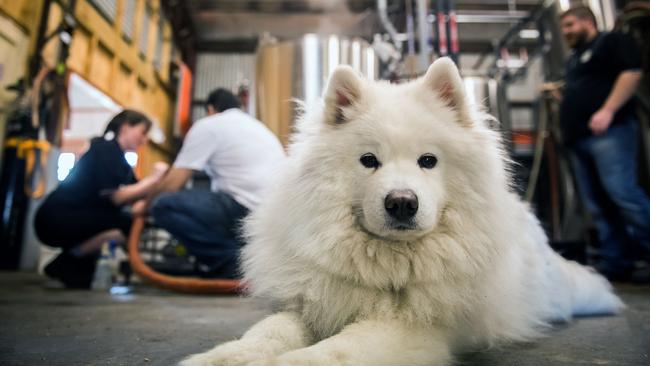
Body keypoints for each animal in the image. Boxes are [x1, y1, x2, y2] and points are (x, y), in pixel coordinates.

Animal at [178, 58, 624, 366]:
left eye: (428, 160)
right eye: (368, 160)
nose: (402, 202)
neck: (387, 265)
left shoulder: (414, 327)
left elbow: (340, 348)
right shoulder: (313, 301)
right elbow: (266, 333)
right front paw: (224, 357)